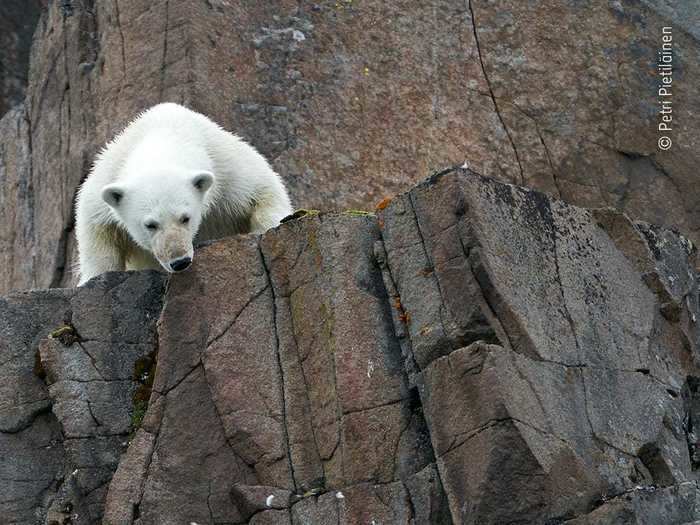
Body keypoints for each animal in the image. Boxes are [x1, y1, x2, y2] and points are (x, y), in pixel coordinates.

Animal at [76, 101, 292, 282]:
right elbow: (98, 244)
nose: (179, 262)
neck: (163, 134)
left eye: (185, 218)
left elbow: (265, 192)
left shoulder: (228, 171)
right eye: (150, 225)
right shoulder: (103, 188)